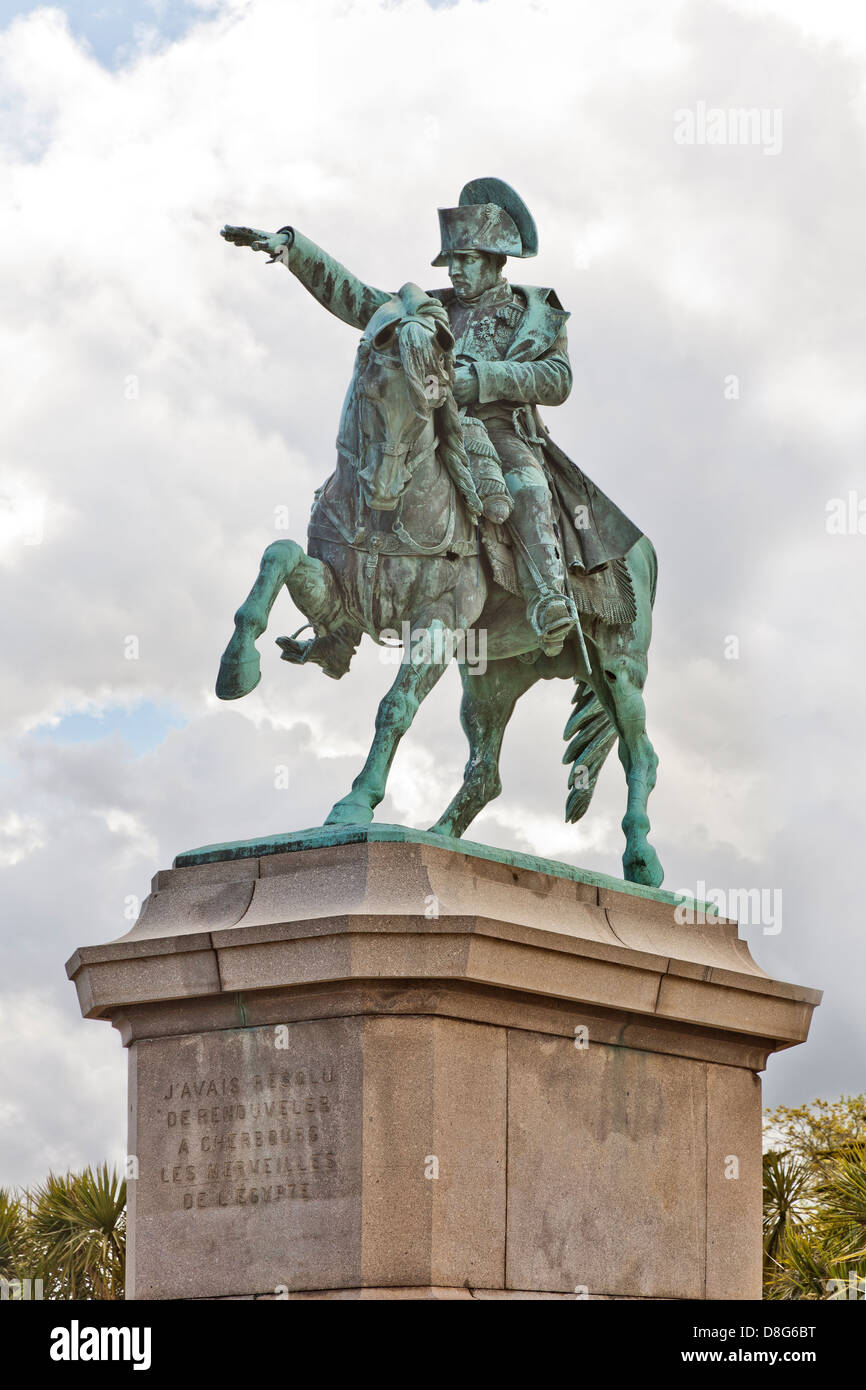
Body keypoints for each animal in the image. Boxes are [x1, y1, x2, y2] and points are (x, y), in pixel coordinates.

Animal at [216, 283, 664, 889]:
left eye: (432, 402)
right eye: (370, 389)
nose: (383, 490)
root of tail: (641, 550)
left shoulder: (439, 621)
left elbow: (394, 706)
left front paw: (355, 804)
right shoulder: (341, 600)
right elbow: (279, 555)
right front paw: (237, 669)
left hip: (620, 669)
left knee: (640, 757)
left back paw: (641, 860)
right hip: (489, 681)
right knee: (485, 771)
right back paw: (443, 839)